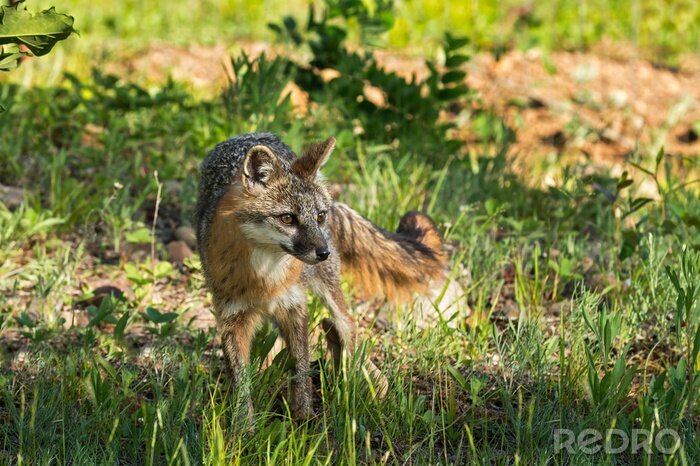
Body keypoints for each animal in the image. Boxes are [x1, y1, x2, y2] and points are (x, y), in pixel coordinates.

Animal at [193, 133, 448, 420]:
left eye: (319, 216)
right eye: (287, 218)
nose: (324, 252)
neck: (265, 277)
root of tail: (253, 135)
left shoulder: (295, 307)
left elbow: (301, 369)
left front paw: (303, 417)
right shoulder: (231, 318)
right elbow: (240, 382)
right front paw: (243, 424)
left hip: (328, 289)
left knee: (349, 327)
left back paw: (367, 385)